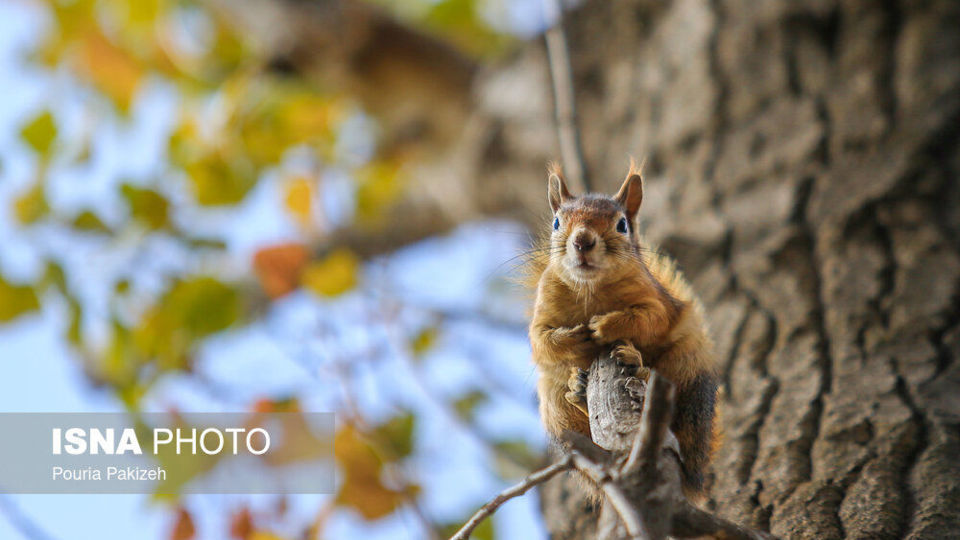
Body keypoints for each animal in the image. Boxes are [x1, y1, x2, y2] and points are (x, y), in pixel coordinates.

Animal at [524, 160, 720, 498]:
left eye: (622, 225)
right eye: (556, 222)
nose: (583, 241)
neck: (590, 290)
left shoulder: (656, 301)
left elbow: (649, 320)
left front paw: (605, 326)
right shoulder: (543, 310)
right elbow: (542, 342)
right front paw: (575, 338)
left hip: (688, 367)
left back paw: (638, 367)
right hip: (554, 406)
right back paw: (579, 391)